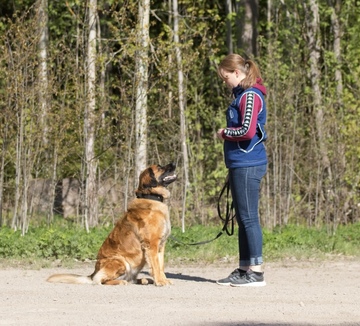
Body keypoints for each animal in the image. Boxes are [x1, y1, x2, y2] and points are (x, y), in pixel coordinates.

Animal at [47, 163, 176, 286]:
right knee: (101, 280)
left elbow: (161, 266)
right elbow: (156, 266)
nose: (173, 164)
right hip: (120, 261)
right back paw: (121, 282)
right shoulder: (152, 245)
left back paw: (144, 280)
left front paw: (163, 279)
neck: (151, 197)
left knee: (130, 280)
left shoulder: (160, 246)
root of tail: (93, 273)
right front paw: (160, 282)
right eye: (159, 167)